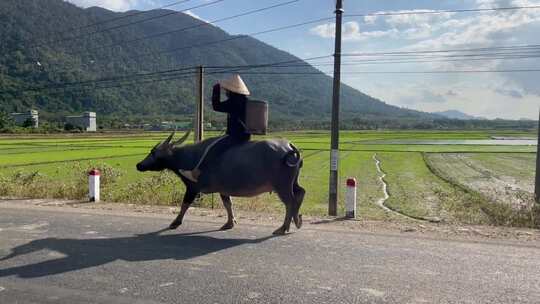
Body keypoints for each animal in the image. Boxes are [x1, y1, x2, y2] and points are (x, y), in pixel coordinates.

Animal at [136, 131, 304, 235]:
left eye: (152, 152)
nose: (139, 165)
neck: (189, 157)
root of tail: (289, 146)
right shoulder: (223, 189)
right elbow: (228, 204)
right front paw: (229, 223)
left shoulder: (192, 188)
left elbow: (185, 204)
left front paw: (175, 222)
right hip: (292, 182)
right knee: (300, 193)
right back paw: (297, 220)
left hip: (282, 185)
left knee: (290, 201)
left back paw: (283, 228)